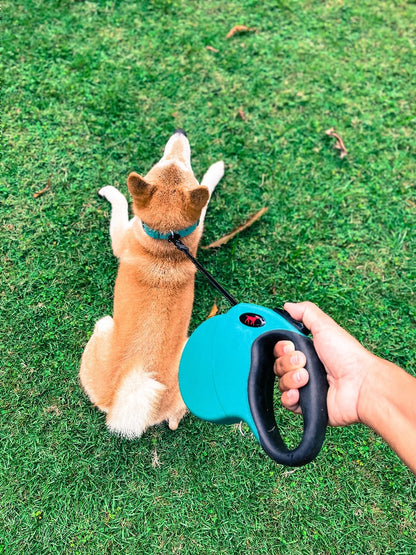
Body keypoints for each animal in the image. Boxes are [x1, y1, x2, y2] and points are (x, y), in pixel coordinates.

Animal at [80, 130, 224, 438]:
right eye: (164, 160)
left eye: (185, 164)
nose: (180, 132)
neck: (166, 240)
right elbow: (205, 198)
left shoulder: (120, 237)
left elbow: (122, 206)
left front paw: (112, 193)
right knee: (175, 420)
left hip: (103, 326)